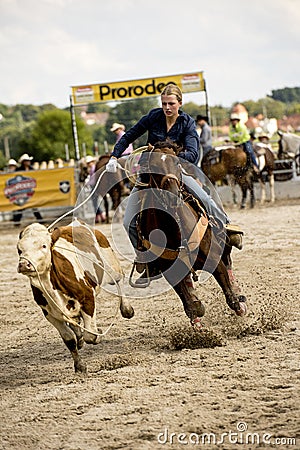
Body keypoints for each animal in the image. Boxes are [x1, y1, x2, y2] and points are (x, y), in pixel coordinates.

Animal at [131, 142, 246, 328]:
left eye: (177, 164)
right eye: (153, 166)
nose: (172, 195)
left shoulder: (213, 257)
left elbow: (230, 296)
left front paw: (240, 304)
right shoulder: (171, 270)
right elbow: (191, 305)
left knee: (228, 262)